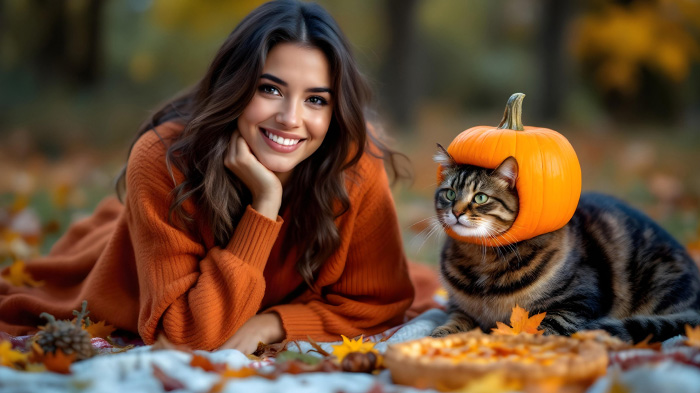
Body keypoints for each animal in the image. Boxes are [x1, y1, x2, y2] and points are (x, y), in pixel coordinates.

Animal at [432, 145, 700, 342]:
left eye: (480, 198)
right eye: (450, 194)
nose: (456, 212)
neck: (481, 257)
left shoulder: (580, 300)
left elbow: (546, 325)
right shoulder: (458, 306)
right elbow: (455, 321)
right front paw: (440, 335)